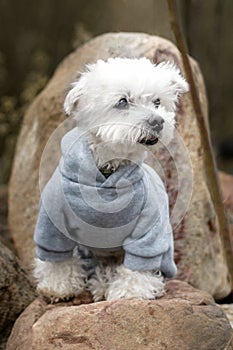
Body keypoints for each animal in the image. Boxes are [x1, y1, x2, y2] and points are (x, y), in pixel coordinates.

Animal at [33, 56, 188, 300]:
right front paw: (58, 285)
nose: (158, 121)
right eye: (123, 101)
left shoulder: (148, 230)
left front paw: (130, 291)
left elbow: (138, 264)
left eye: (157, 101)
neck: (107, 168)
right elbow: (57, 255)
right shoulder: (52, 224)